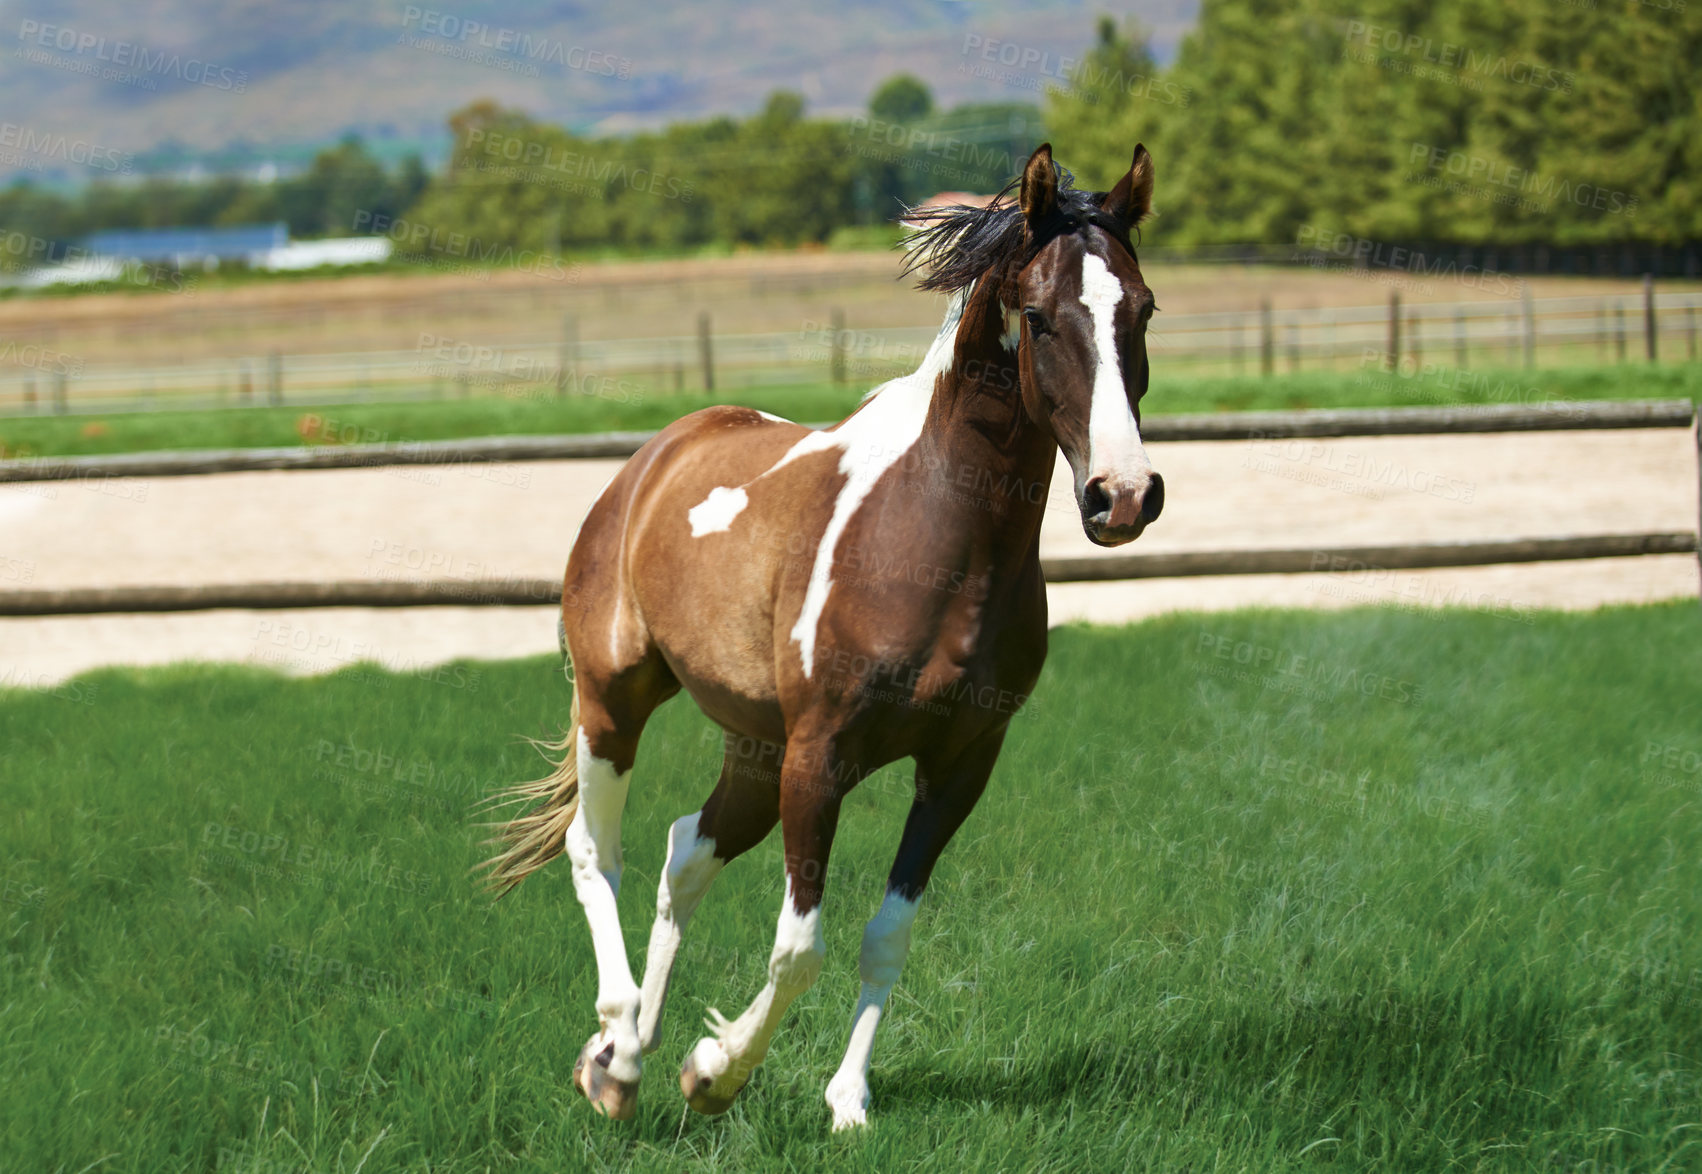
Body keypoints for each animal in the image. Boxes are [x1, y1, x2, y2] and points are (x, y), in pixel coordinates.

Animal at [486, 142, 1164, 1129]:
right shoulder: (823, 756)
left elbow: (888, 934)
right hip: (615, 702)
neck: (935, 540)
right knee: (594, 850)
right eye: (1038, 317)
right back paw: (618, 1055)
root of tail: (652, 461)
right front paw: (713, 1072)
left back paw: (624, 1055)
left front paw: (847, 1100)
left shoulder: (960, 764)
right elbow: (799, 946)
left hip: (754, 748)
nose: (1123, 494)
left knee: (683, 853)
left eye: (1143, 310)